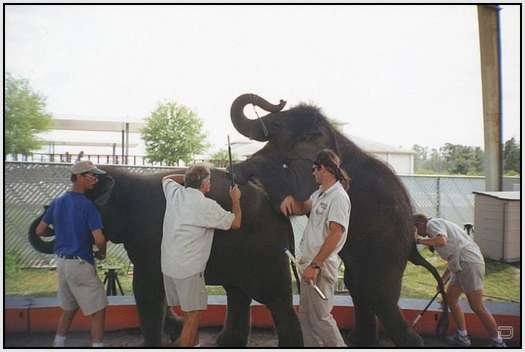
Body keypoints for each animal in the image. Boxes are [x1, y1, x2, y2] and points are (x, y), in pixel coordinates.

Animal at [28, 166, 302, 346]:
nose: (45, 208)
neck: (127, 182)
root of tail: (279, 208)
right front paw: (175, 329)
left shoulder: (149, 240)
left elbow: (146, 288)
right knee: (237, 293)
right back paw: (224, 343)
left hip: (264, 251)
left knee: (274, 298)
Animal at [227, 93, 448, 346]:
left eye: (276, 125)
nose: (280, 100)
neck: (329, 130)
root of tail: (412, 242)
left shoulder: (312, 165)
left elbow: (292, 184)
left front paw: (237, 168)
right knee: (358, 287)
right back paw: (359, 341)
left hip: (388, 248)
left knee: (380, 295)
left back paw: (410, 343)